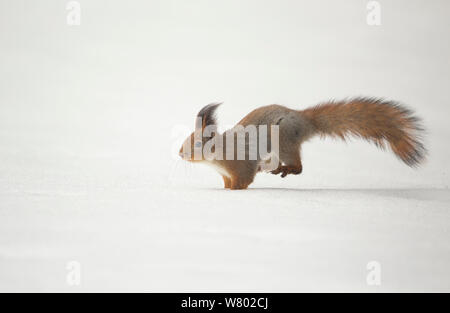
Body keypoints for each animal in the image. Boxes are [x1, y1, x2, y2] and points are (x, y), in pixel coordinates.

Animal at [178, 97, 426, 190]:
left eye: (197, 144)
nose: (180, 154)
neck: (219, 155)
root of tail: (305, 120)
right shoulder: (226, 174)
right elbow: (228, 183)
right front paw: (225, 191)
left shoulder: (241, 165)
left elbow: (243, 181)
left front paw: (234, 193)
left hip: (284, 139)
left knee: (299, 166)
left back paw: (287, 168)